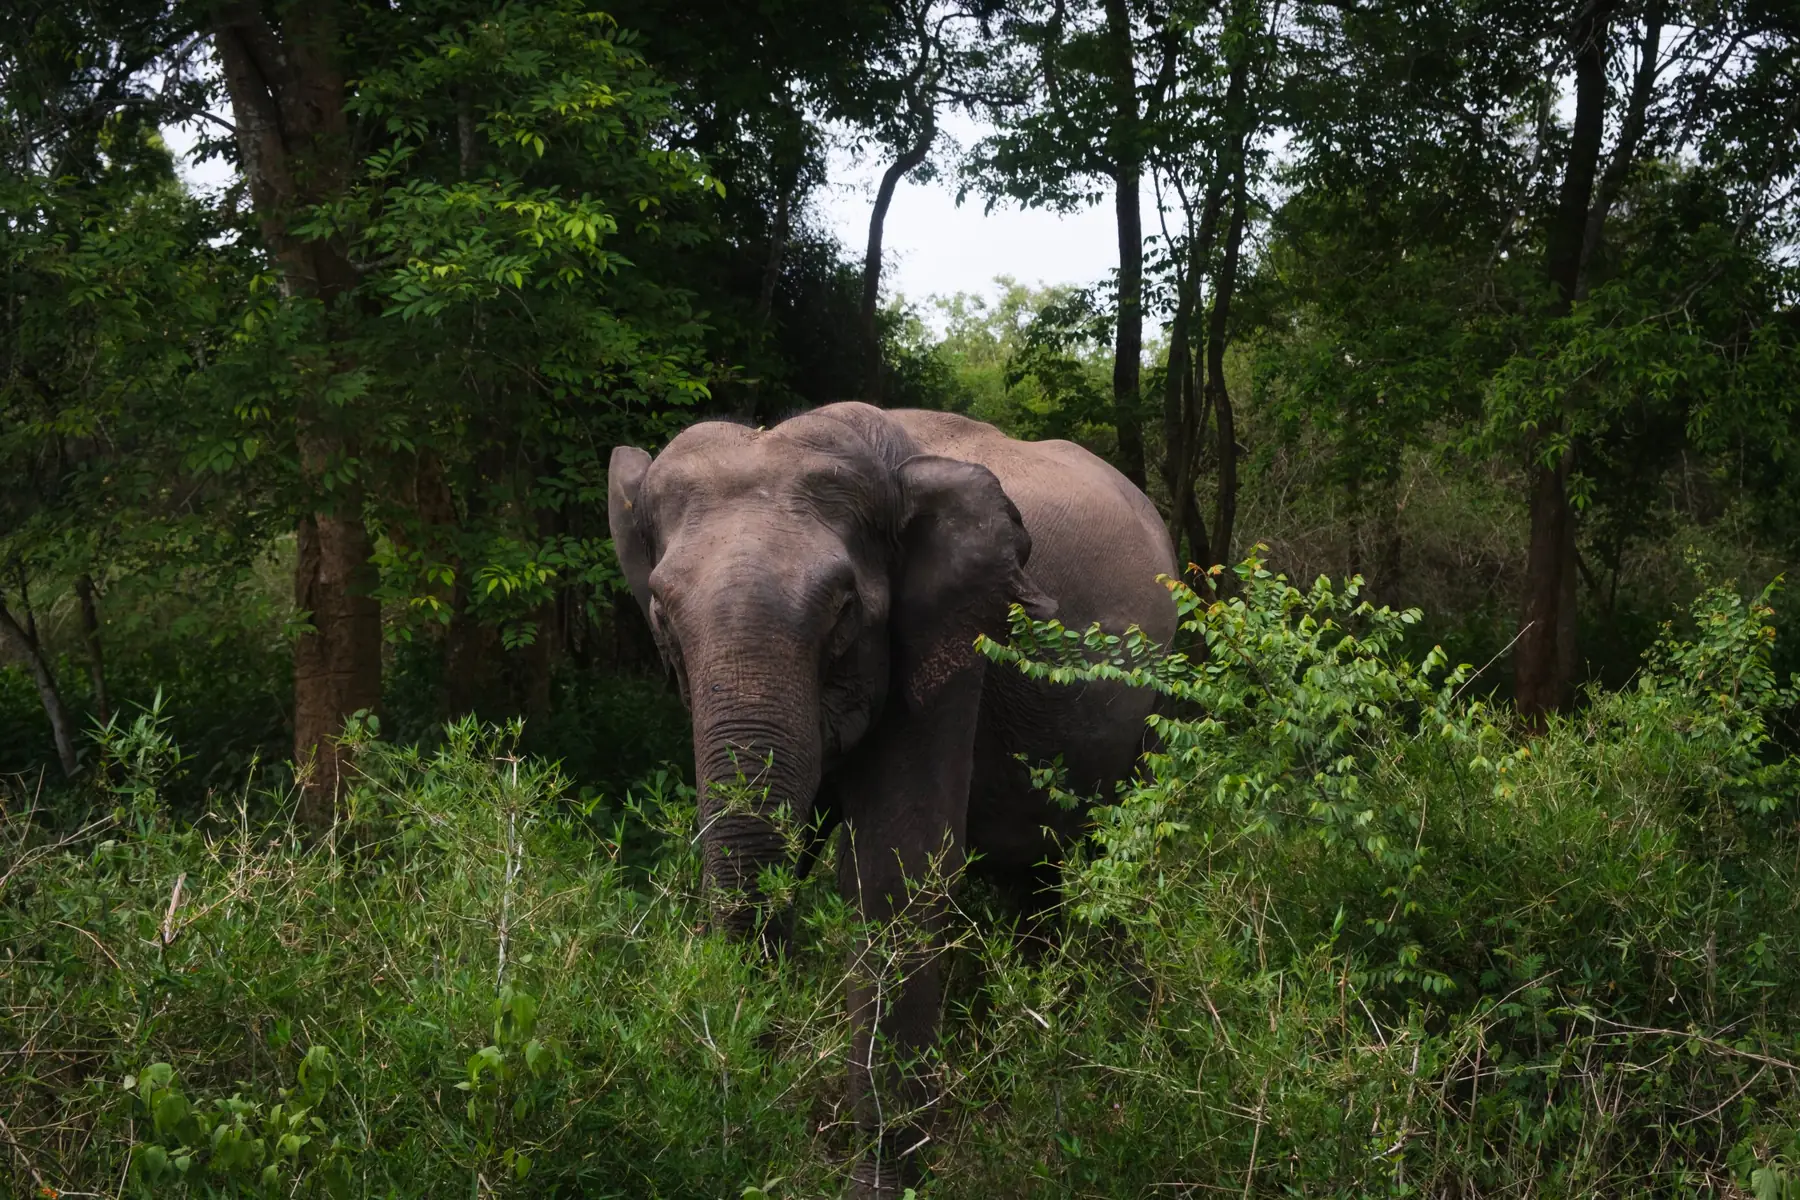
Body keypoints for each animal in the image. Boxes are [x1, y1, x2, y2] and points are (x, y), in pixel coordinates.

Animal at [607, 401, 1177, 1195]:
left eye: (845, 609)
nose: (748, 1112)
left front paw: (880, 1183)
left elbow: (896, 867)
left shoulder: (949, 631)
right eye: (660, 610)